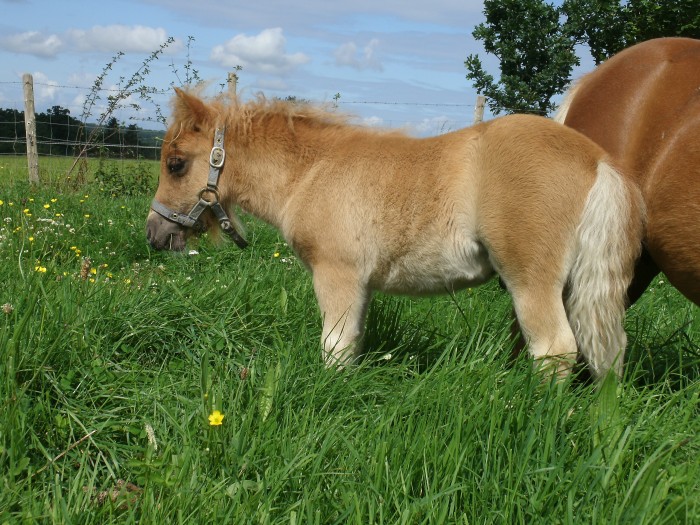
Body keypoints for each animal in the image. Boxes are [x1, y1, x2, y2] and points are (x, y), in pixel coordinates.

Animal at [148, 89, 644, 376]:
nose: (155, 234)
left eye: (176, 164)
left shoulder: (337, 273)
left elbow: (335, 348)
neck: (311, 172)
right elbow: (352, 342)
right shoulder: (360, 284)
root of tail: (597, 159)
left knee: (555, 349)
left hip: (530, 277)